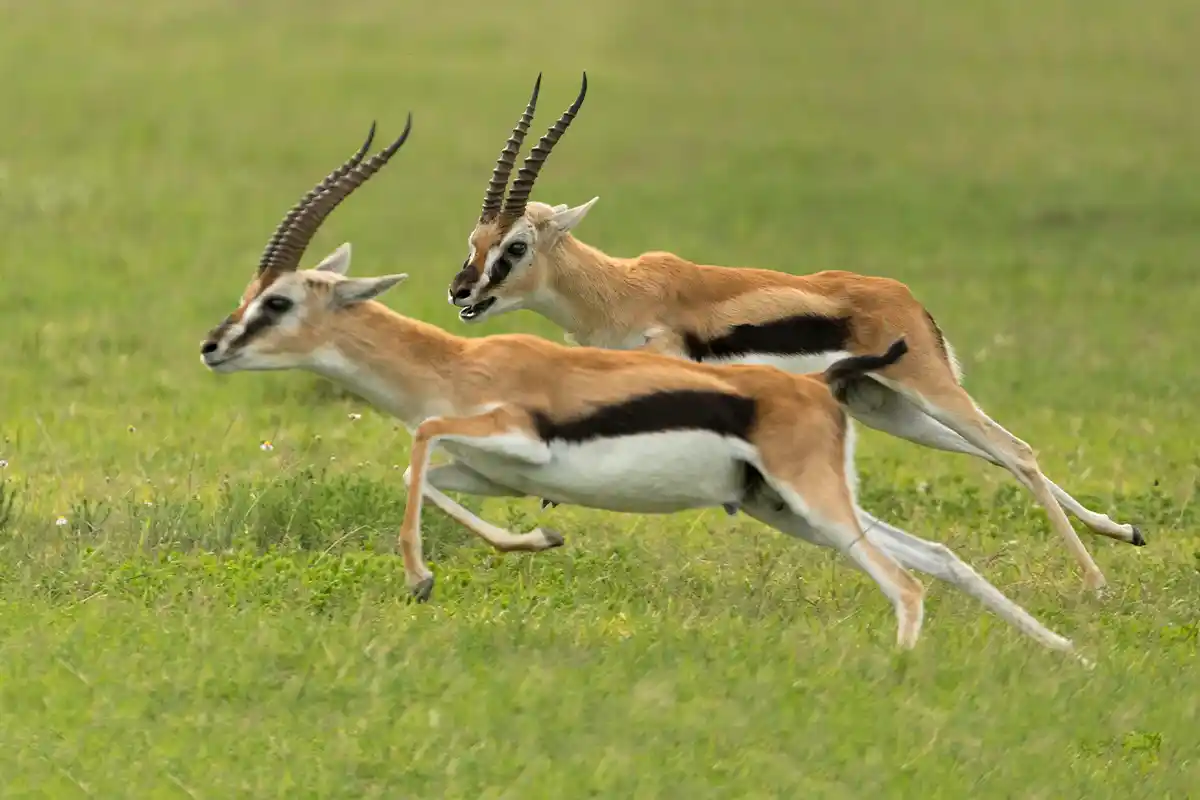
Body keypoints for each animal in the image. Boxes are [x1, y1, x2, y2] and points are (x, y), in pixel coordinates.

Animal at [198, 115, 1079, 657]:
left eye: (277, 302)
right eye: (470, 242)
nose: (212, 345)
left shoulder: (511, 431)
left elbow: (418, 444)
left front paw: (423, 576)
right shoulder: (485, 468)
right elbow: (434, 475)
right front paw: (536, 540)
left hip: (892, 425)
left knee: (992, 483)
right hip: (823, 472)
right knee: (947, 541)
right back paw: (1071, 638)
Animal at [448, 73, 1144, 594]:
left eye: (516, 246)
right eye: (475, 240)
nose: (461, 292)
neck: (621, 293)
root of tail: (907, 300)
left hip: (928, 389)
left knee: (1016, 451)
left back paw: (1096, 584)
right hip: (888, 408)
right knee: (994, 453)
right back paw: (1123, 533)